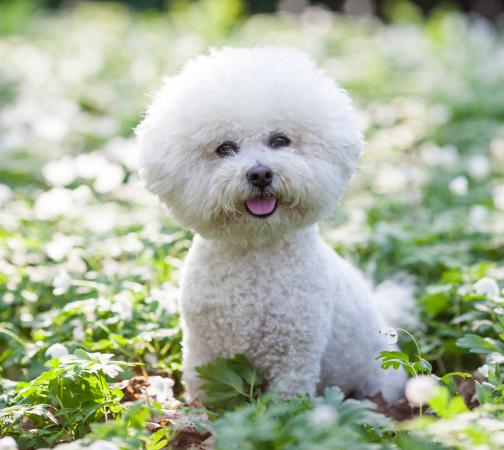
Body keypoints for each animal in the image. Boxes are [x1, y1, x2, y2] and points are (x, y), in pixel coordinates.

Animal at [138, 47, 410, 402]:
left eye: (280, 140)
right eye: (224, 148)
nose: (260, 173)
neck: (255, 251)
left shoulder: (295, 354)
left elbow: (287, 402)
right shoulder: (203, 347)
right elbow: (204, 391)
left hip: (382, 378)